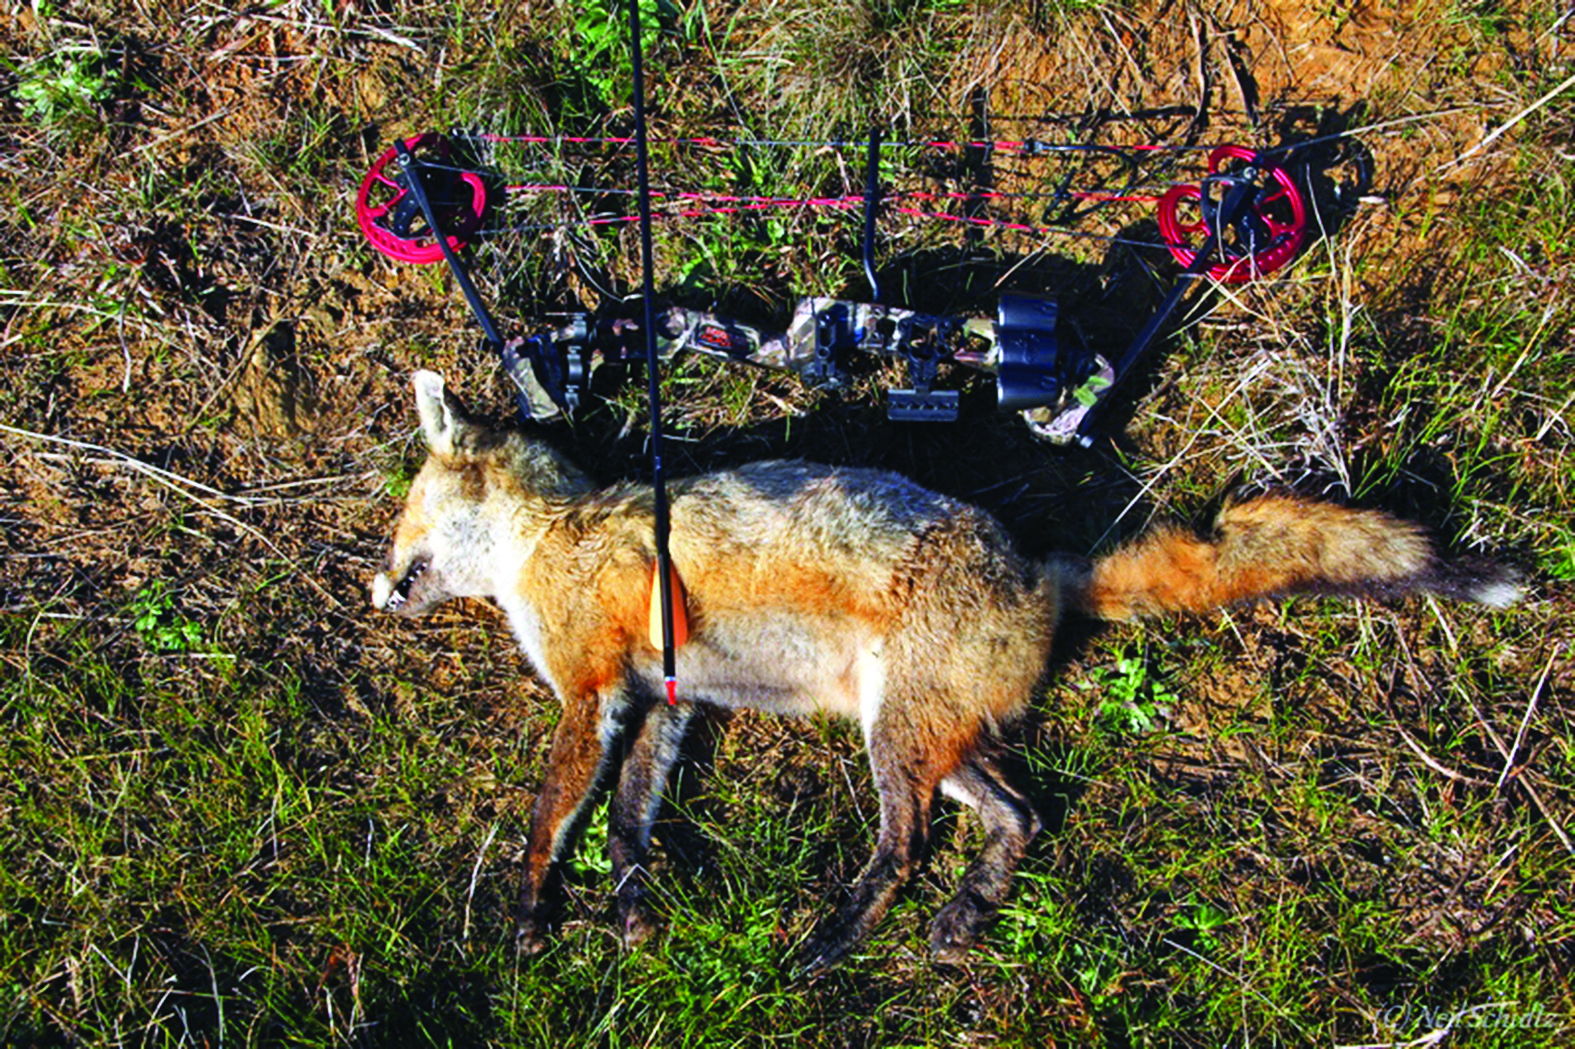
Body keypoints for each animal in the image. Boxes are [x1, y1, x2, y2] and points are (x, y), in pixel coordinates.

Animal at [371, 370, 1524, 970]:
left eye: (402, 517)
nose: (375, 586)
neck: (551, 536)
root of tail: (1042, 573)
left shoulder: (596, 691)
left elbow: (549, 819)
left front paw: (529, 915)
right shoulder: (665, 701)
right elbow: (626, 825)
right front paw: (631, 915)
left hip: (893, 738)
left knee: (907, 846)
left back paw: (834, 942)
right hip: (932, 736)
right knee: (1020, 813)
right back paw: (967, 912)